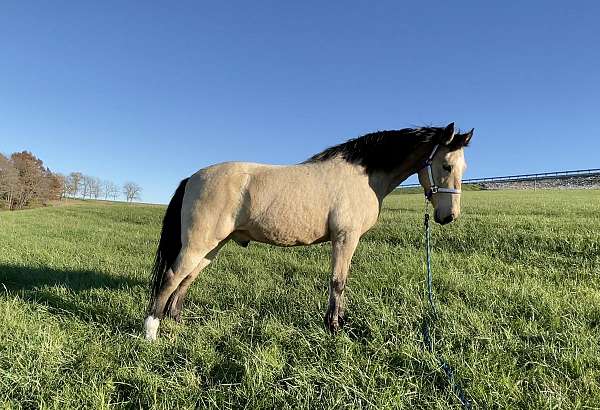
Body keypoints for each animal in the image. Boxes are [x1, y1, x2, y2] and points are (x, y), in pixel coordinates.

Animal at [145, 121, 474, 340]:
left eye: (464, 168)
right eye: (446, 165)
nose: (449, 216)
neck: (363, 176)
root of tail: (192, 178)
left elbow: (341, 282)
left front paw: (338, 321)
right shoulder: (344, 239)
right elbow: (338, 282)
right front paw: (334, 327)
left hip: (212, 246)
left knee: (186, 279)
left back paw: (176, 321)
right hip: (198, 244)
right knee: (172, 277)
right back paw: (151, 330)